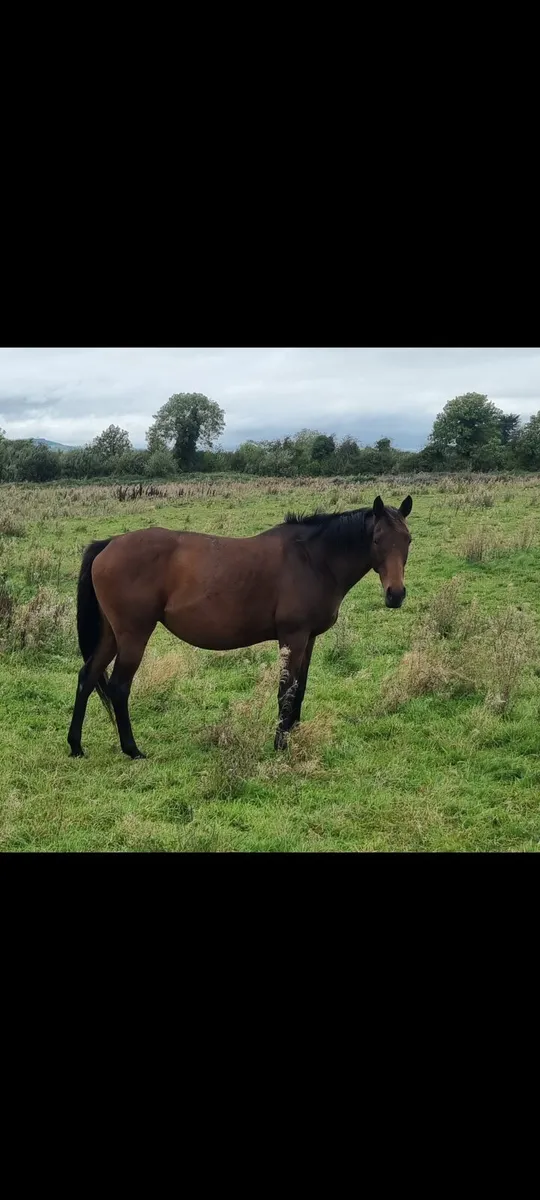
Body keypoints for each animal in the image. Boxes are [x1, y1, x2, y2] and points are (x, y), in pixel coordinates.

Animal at [68, 494, 413, 759]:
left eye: (408, 539)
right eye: (377, 539)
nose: (395, 594)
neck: (313, 559)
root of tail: (109, 543)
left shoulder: (309, 638)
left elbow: (299, 690)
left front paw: (294, 733)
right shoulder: (293, 637)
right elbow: (286, 691)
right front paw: (280, 744)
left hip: (111, 636)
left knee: (88, 676)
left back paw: (76, 746)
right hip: (133, 635)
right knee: (118, 686)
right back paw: (132, 749)